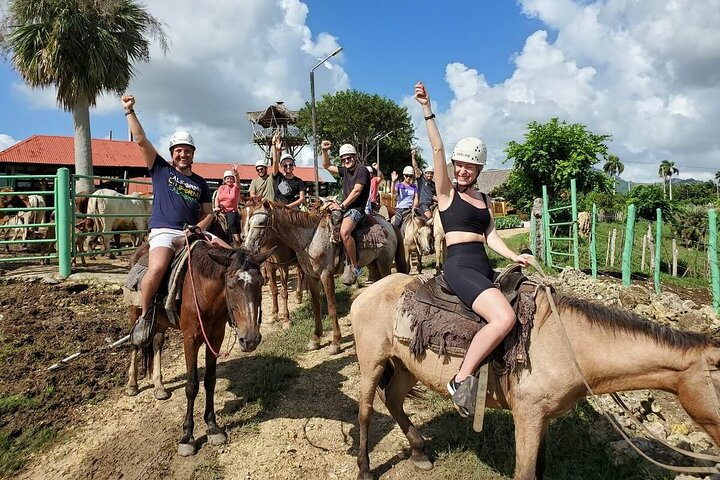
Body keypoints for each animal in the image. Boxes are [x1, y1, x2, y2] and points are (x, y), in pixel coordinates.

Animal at [125, 236, 272, 458]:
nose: (250, 339)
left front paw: (212, 427)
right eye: (230, 286)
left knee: (157, 342)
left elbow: (210, 381)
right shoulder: (190, 339)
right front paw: (187, 436)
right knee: (136, 342)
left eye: (260, 283)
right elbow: (192, 385)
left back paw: (159, 386)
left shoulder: (215, 338)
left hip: (161, 321)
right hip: (136, 311)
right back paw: (132, 385)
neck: (204, 294)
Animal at [245, 201, 408, 354]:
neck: (311, 239)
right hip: (373, 265)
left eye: (262, 222)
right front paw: (315, 338)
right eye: (249, 221)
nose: (247, 247)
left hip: (384, 264)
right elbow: (316, 307)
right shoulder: (311, 277)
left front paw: (335, 342)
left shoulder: (326, 275)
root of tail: (389, 225)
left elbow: (331, 307)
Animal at [352, 274, 720, 480]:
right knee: (366, 410)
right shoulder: (527, 415)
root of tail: (369, 291)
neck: (567, 343)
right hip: (372, 362)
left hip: (405, 366)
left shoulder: (542, 418)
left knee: (394, 399)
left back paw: (419, 452)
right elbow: (526, 473)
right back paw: (366, 468)